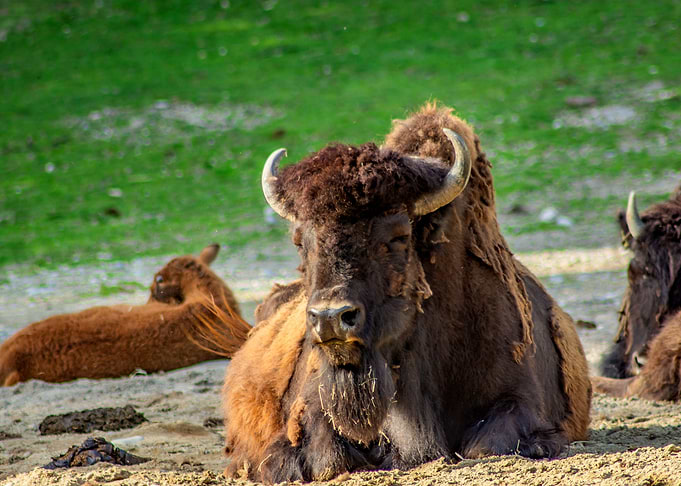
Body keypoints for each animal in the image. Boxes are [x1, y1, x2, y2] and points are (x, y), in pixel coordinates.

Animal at [218, 103, 591, 482]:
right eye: (300, 241)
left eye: (397, 237)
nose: (331, 318)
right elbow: (326, 457)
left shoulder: (521, 399)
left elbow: (487, 444)